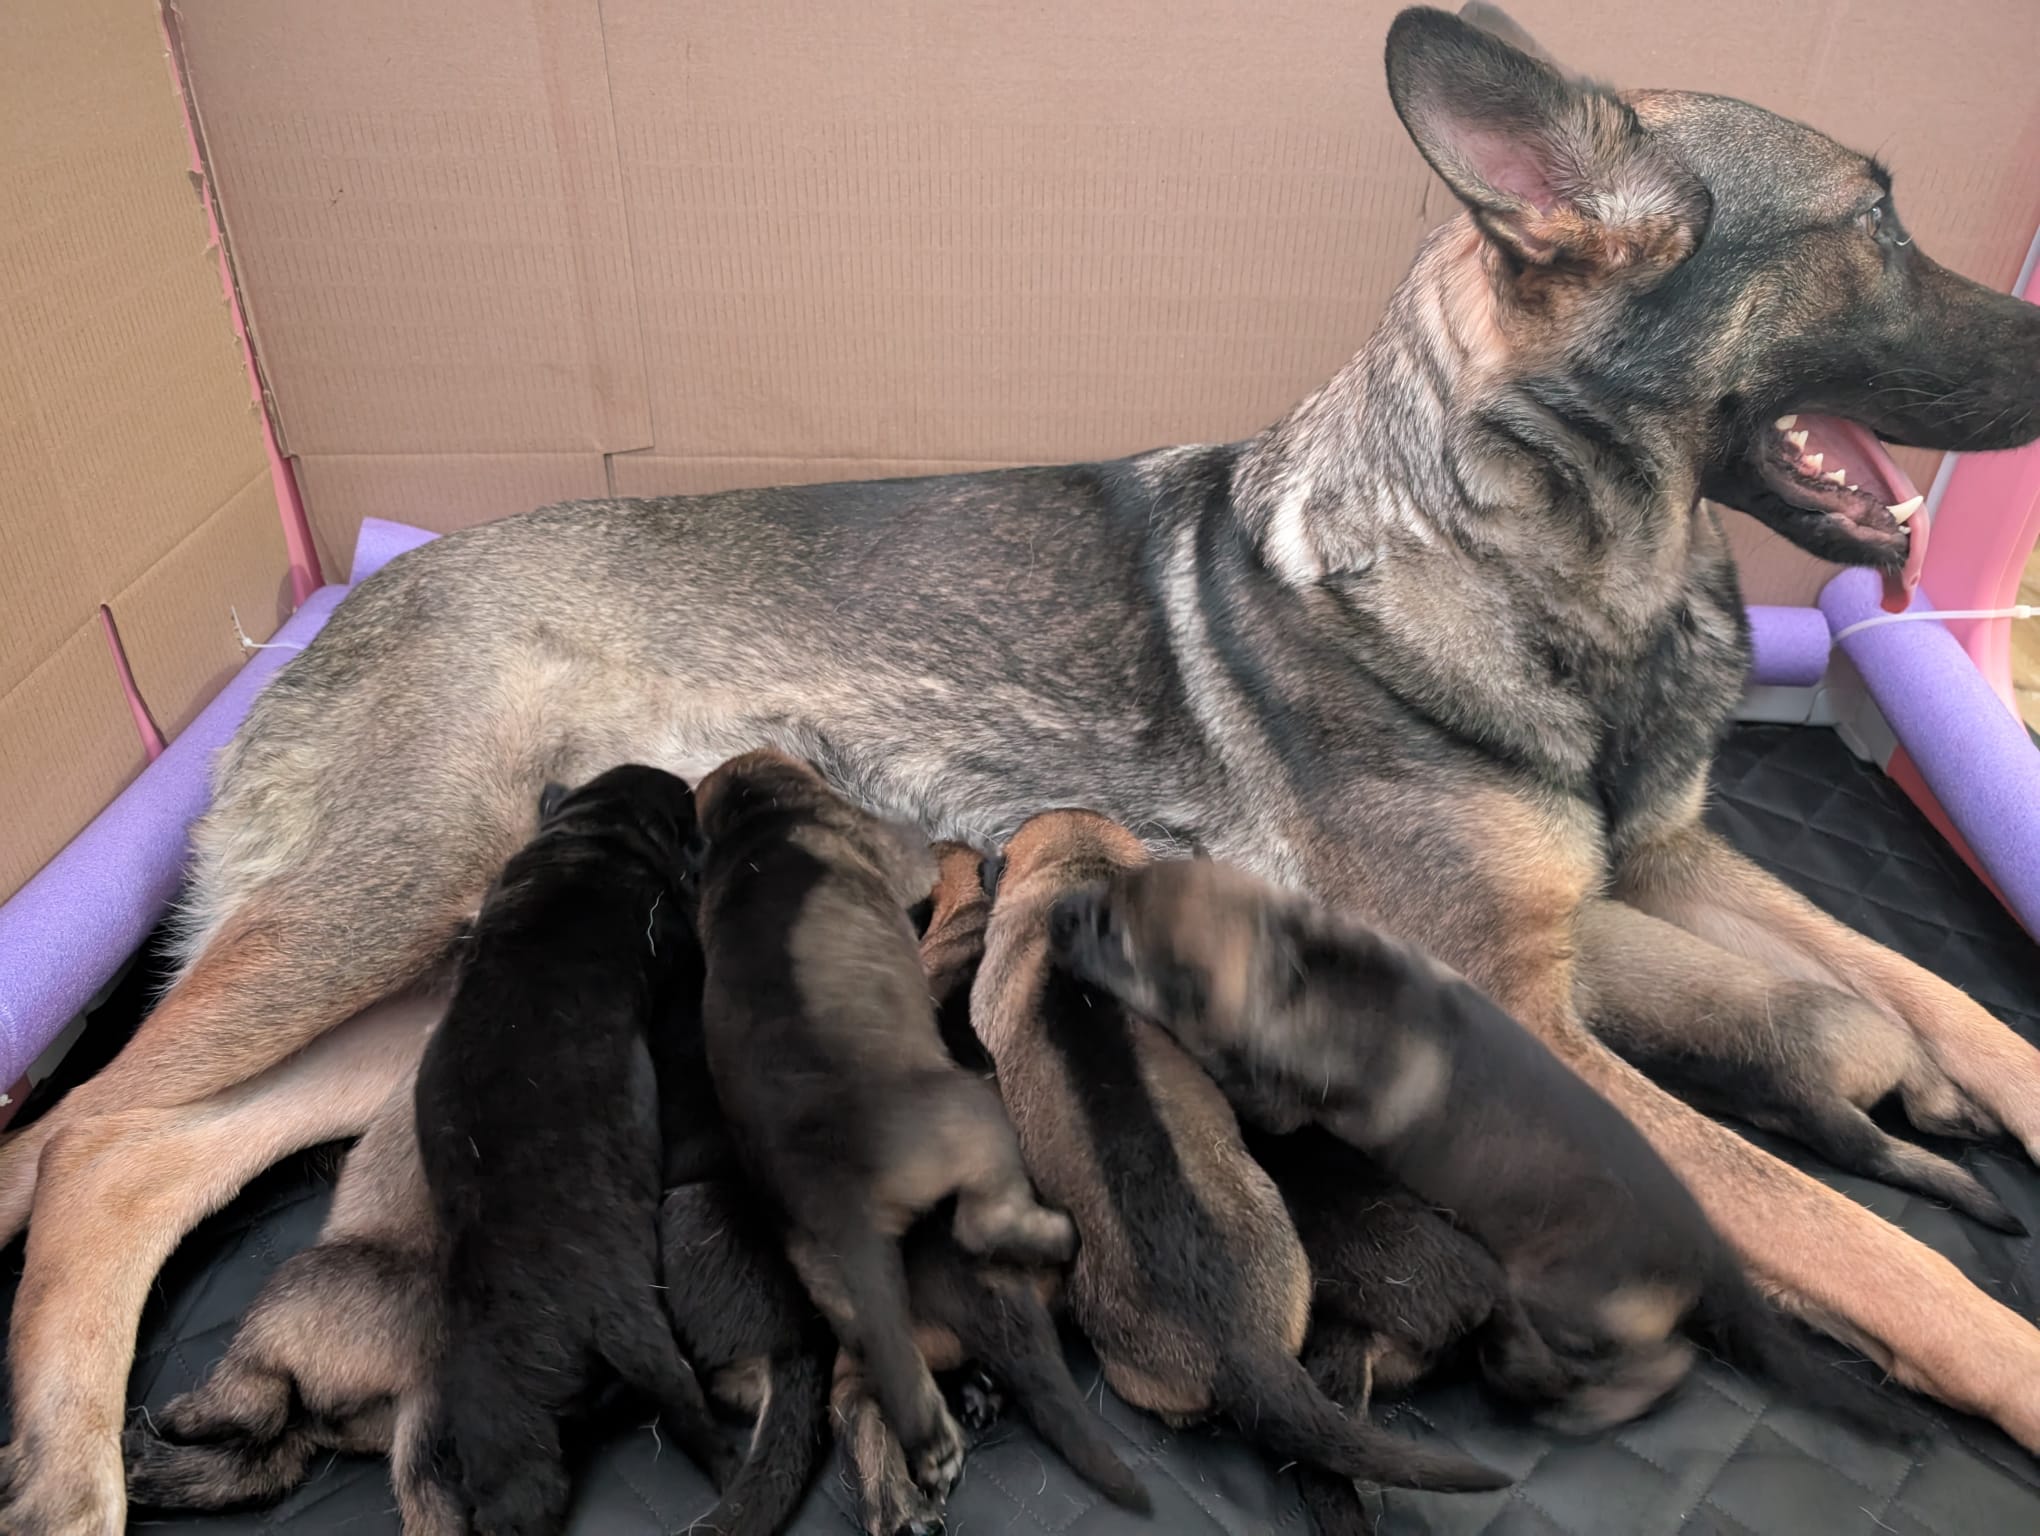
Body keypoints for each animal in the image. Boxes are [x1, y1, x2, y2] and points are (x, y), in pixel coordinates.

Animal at [693, 750, 1077, 1501]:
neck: (759, 830)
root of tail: (839, 1191)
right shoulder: (897, 857)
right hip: (976, 1121)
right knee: (985, 1223)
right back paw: (1056, 1234)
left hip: (833, 1282)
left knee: (887, 1350)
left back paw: (931, 1442)